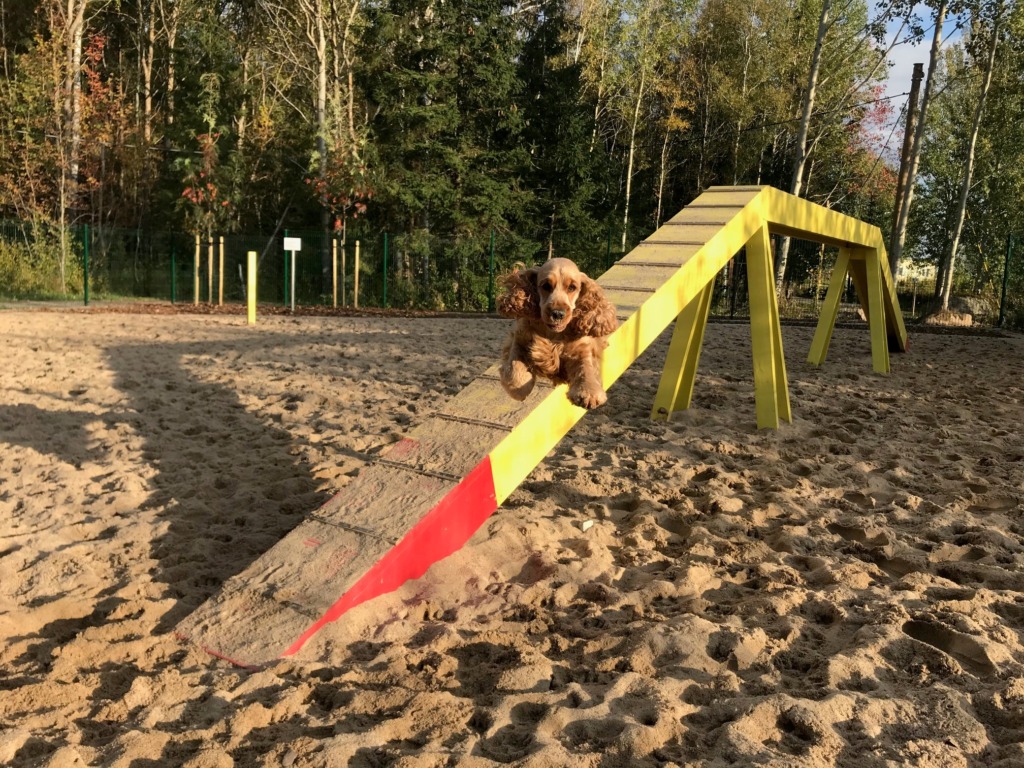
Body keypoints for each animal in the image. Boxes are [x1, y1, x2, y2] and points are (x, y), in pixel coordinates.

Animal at [495, 259, 614, 411]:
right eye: (546, 286)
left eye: (572, 287)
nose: (557, 313)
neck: (553, 334)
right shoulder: (520, 338)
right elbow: (514, 367)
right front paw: (518, 388)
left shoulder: (582, 348)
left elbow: (586, 368)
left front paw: (589, 393)